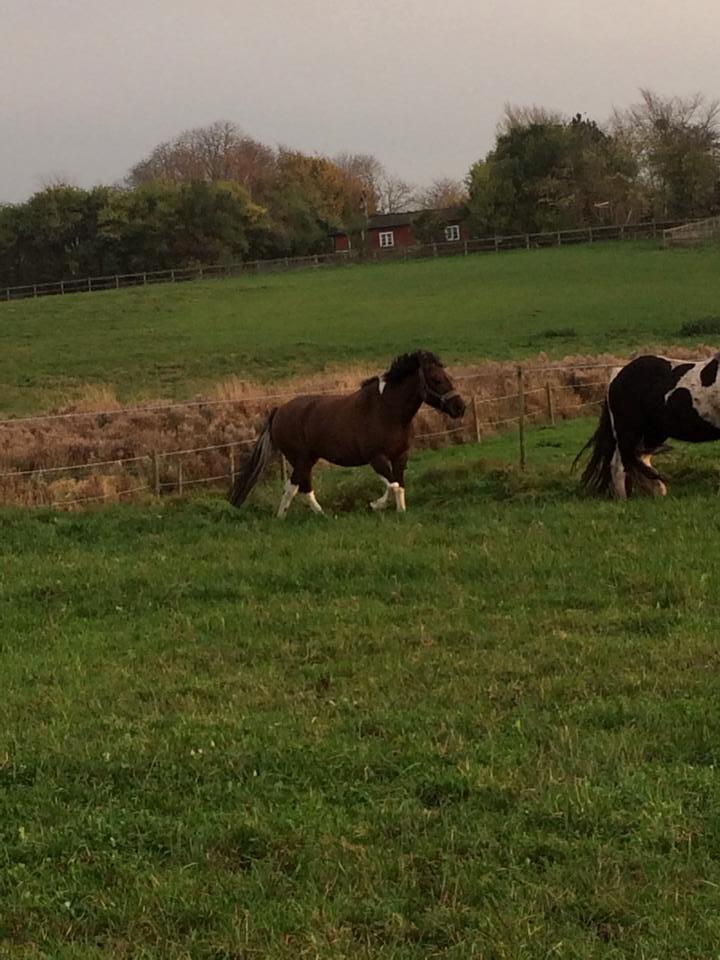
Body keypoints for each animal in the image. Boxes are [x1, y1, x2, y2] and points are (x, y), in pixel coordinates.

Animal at [231, 350, 466, 516]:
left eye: (447, 376)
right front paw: (374, 505)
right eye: (436, 379)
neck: (386, 411)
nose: (460, 407)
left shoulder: (400, 456)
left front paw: (400, 511)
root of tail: (279, 410)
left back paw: (314, 515)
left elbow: (399, 486)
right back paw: (291, 516)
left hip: (308, 459)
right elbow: (392, 485)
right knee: (294, 486)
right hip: (300, 458)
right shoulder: (376, 458)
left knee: (299, 486)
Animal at [576, 354, 720, 502]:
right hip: (629, 433)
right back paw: (624, 499)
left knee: (640, 460)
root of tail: (616, 377)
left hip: (651, 434)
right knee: (619, 465)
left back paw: (656, 492)